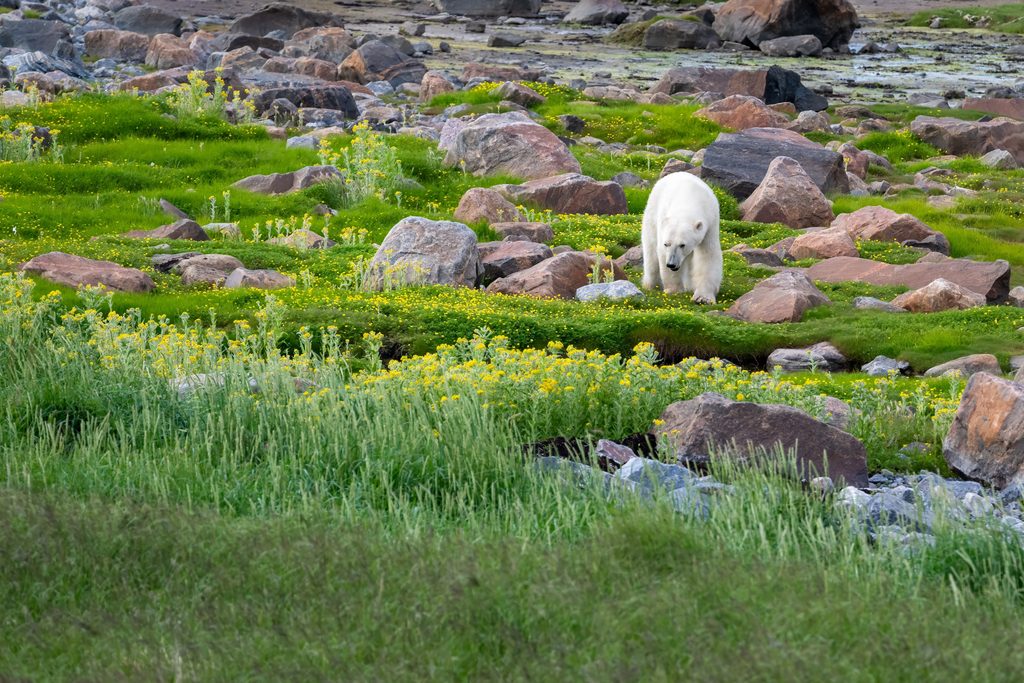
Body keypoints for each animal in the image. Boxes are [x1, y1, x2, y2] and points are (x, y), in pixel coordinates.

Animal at [641, 172, 723, 304]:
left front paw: (703, 298)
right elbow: (661, 252)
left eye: (682, 245)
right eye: (666, 244)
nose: (671, 264)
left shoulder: (711, 222)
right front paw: (673, 290)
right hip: (651, 212)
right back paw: (650, 284)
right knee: (651, 250)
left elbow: (708, 255)